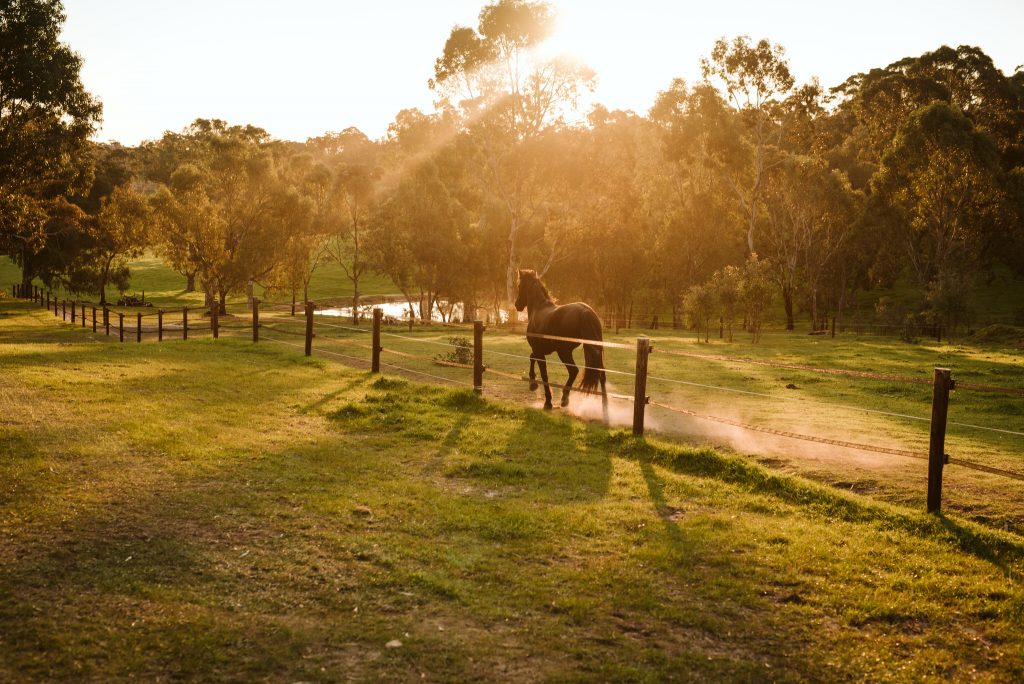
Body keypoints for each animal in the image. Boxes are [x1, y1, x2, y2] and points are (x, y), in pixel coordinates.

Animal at [514, 269, 607, 414]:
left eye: (519, 286)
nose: (517, 304)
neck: (538, 309)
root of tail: (586, 311)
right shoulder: (540, 350)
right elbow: (531, 357)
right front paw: (533, 384)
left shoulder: (539, 352)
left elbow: (544, 375)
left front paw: (547, 402)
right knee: (602, 375)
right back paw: (605, 410)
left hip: (564, 352)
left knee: (573, 371)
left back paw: (564, 399)